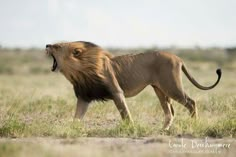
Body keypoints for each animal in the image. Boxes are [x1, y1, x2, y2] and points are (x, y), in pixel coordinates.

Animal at [45, 40, 221, 130]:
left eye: (57, 46)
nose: (46, 45)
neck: (80, 73)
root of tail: (178, 58)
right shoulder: (84, 97)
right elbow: (77, 117)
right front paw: (71, 129)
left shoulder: (116, 92)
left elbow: (125, 113)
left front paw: (131, 128)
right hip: (160, 90)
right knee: (170, 111)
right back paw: (163, 130)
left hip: (171, 86)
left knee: (191, 102)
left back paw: (194, 124)